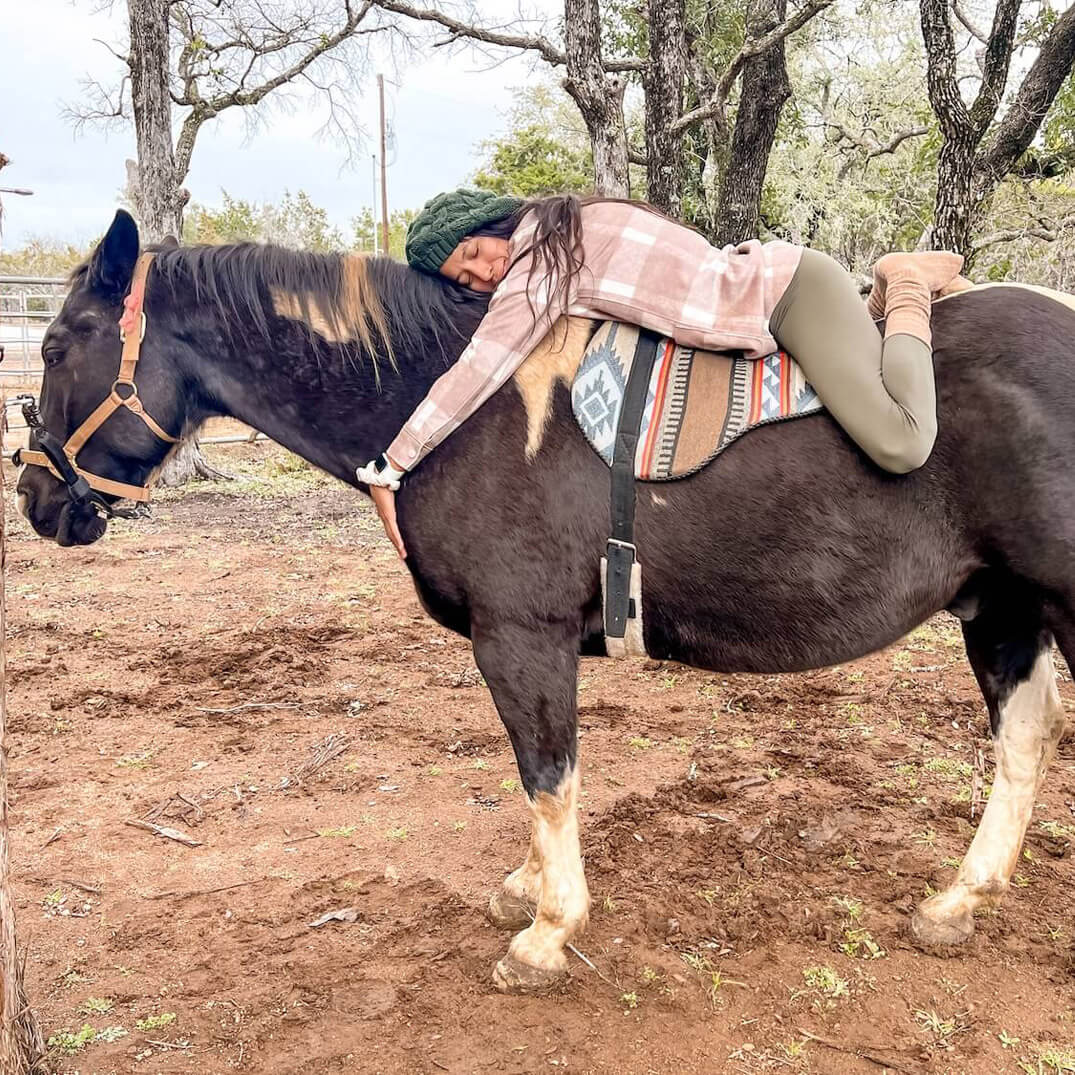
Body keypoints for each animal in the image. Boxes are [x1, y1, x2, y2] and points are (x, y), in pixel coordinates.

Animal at [14, 207, 1075, 989]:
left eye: (61, 344)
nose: (33, 498)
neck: (457, 404)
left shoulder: (520, 635)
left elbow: (546, 772)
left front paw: (547, 930)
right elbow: (538, 777)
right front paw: (525, 888)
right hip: (1001, 608)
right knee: (1023, 743)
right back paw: (959, 901)